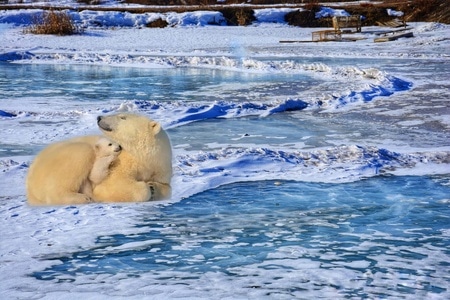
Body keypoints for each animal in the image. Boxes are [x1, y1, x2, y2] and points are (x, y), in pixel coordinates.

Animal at [27, 113, 172, 206]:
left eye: (122, 117)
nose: (99, 117)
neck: (145, 157)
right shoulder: (120, 162)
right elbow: (113, 184)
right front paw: (147, 188)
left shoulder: (161, 167)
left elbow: (167, 188)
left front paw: (153, 187)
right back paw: (83, 198)